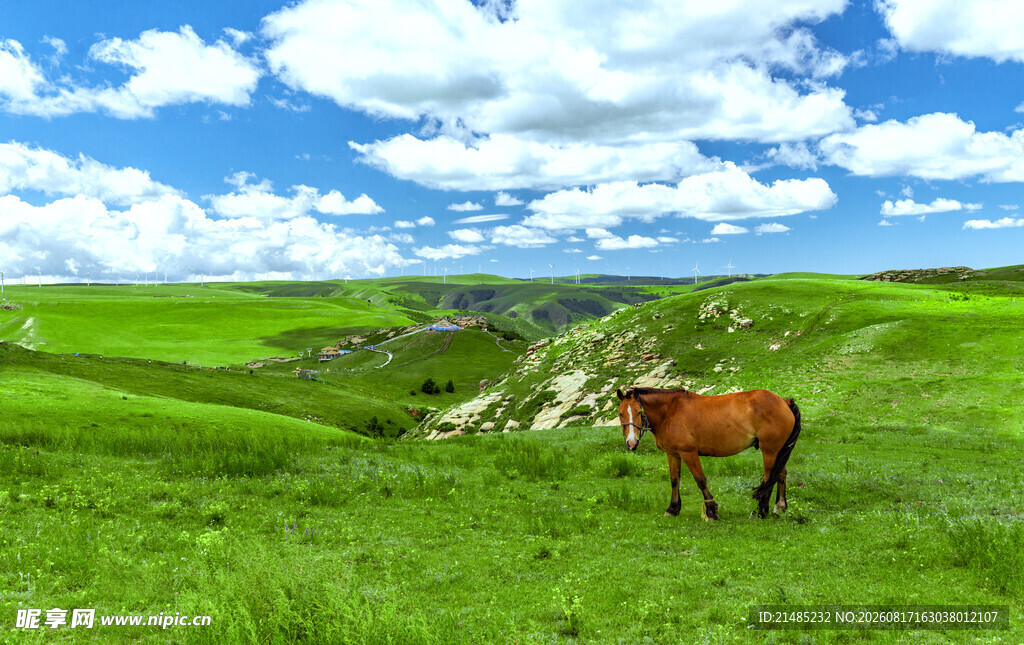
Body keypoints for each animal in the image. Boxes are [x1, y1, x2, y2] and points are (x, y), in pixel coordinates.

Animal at [616, 386, 801, 521]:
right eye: (620, 414)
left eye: (639, 412)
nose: (631, 443)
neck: (669, 412)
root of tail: (784, 401)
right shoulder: (673, 454)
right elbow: (674, 480)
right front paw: (673, 508)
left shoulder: (688, 453)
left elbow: (700, 480)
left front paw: (711, 511)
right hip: (778, 451)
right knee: (781, 473)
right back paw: (780, 508)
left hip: (769, 450)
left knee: (770, 478)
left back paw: (760, 512)